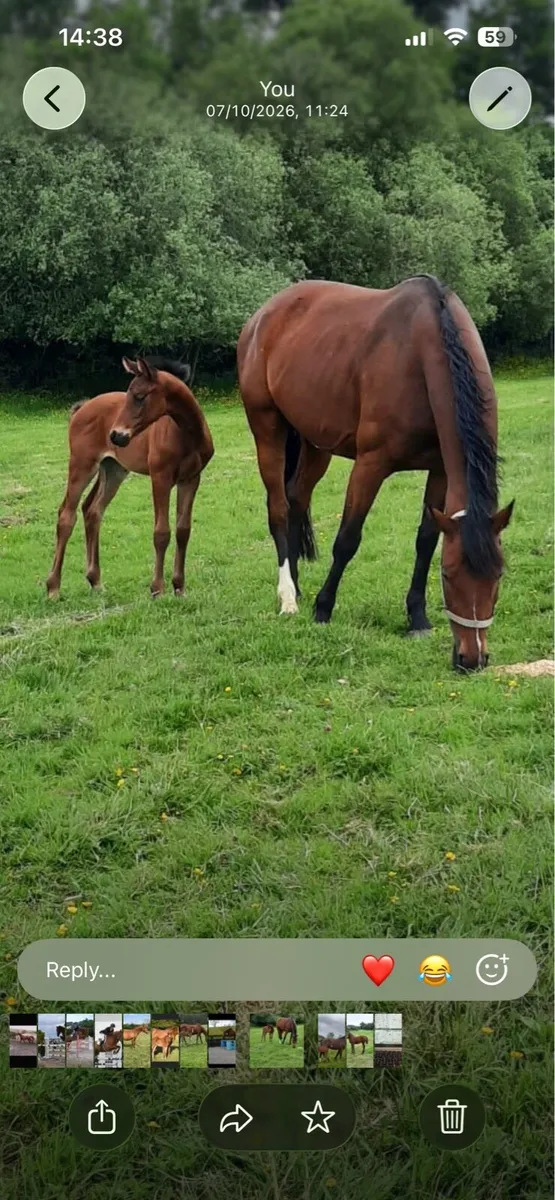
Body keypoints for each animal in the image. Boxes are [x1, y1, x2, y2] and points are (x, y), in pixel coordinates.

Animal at [47, 357, 214, 600]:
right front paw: (157, 589)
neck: (186, 434)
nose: (116, 435)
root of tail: (81, 408)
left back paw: (95, 581)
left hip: (113, 469)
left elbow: (183, 531)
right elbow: (161, 532)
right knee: (66, 515)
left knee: (92, 510)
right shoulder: (160, 478)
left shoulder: (191, 479)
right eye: (129, 395)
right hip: (82, 465)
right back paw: (53, 588)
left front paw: (179, 587)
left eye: (140, 397)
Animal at [237, 277, 514, 671]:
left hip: (316, 444)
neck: (420, 352)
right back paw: (288, 597)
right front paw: (324, 609)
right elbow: (347, 539)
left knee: (296, 499)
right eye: (448, 575)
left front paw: (417, 618)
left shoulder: (440, 471)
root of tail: (262, 316)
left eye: (498, 575)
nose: (471, 659)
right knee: (278, 508)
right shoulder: (370, 465)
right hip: (267, 429)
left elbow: (426, 540)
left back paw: (297, 584)